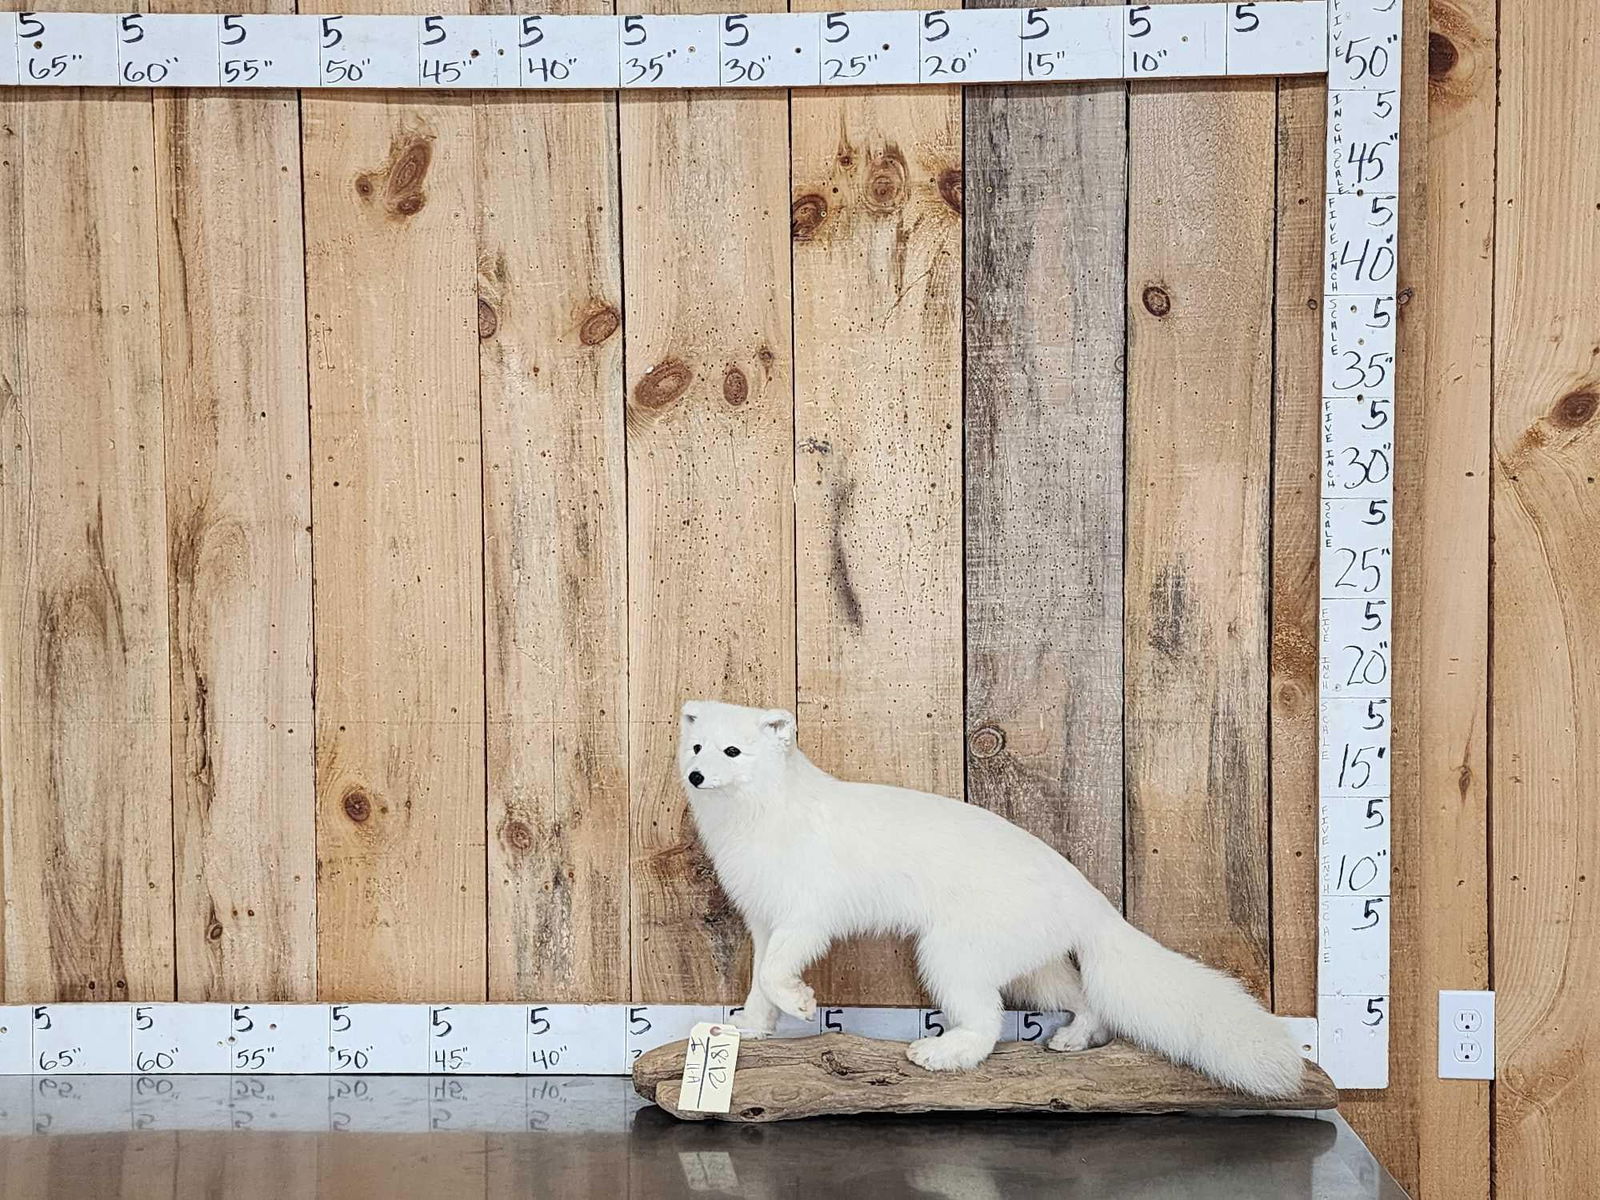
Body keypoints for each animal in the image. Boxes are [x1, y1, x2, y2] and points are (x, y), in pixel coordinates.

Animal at [676, 699, 1308, 1098]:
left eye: (732, 752)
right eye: (696, 747)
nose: (696, 777)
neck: (758, 822)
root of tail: (1084, 893)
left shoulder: (807, 916)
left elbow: (777, 972)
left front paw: (803, 1004)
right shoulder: (762, 919)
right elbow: (758, 980)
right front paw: (751, 1029)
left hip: (950, 954)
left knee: (987, 1023)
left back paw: (940, 1055)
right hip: (1032, 967)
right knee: (1084, 1000)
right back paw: (1073, 1041)